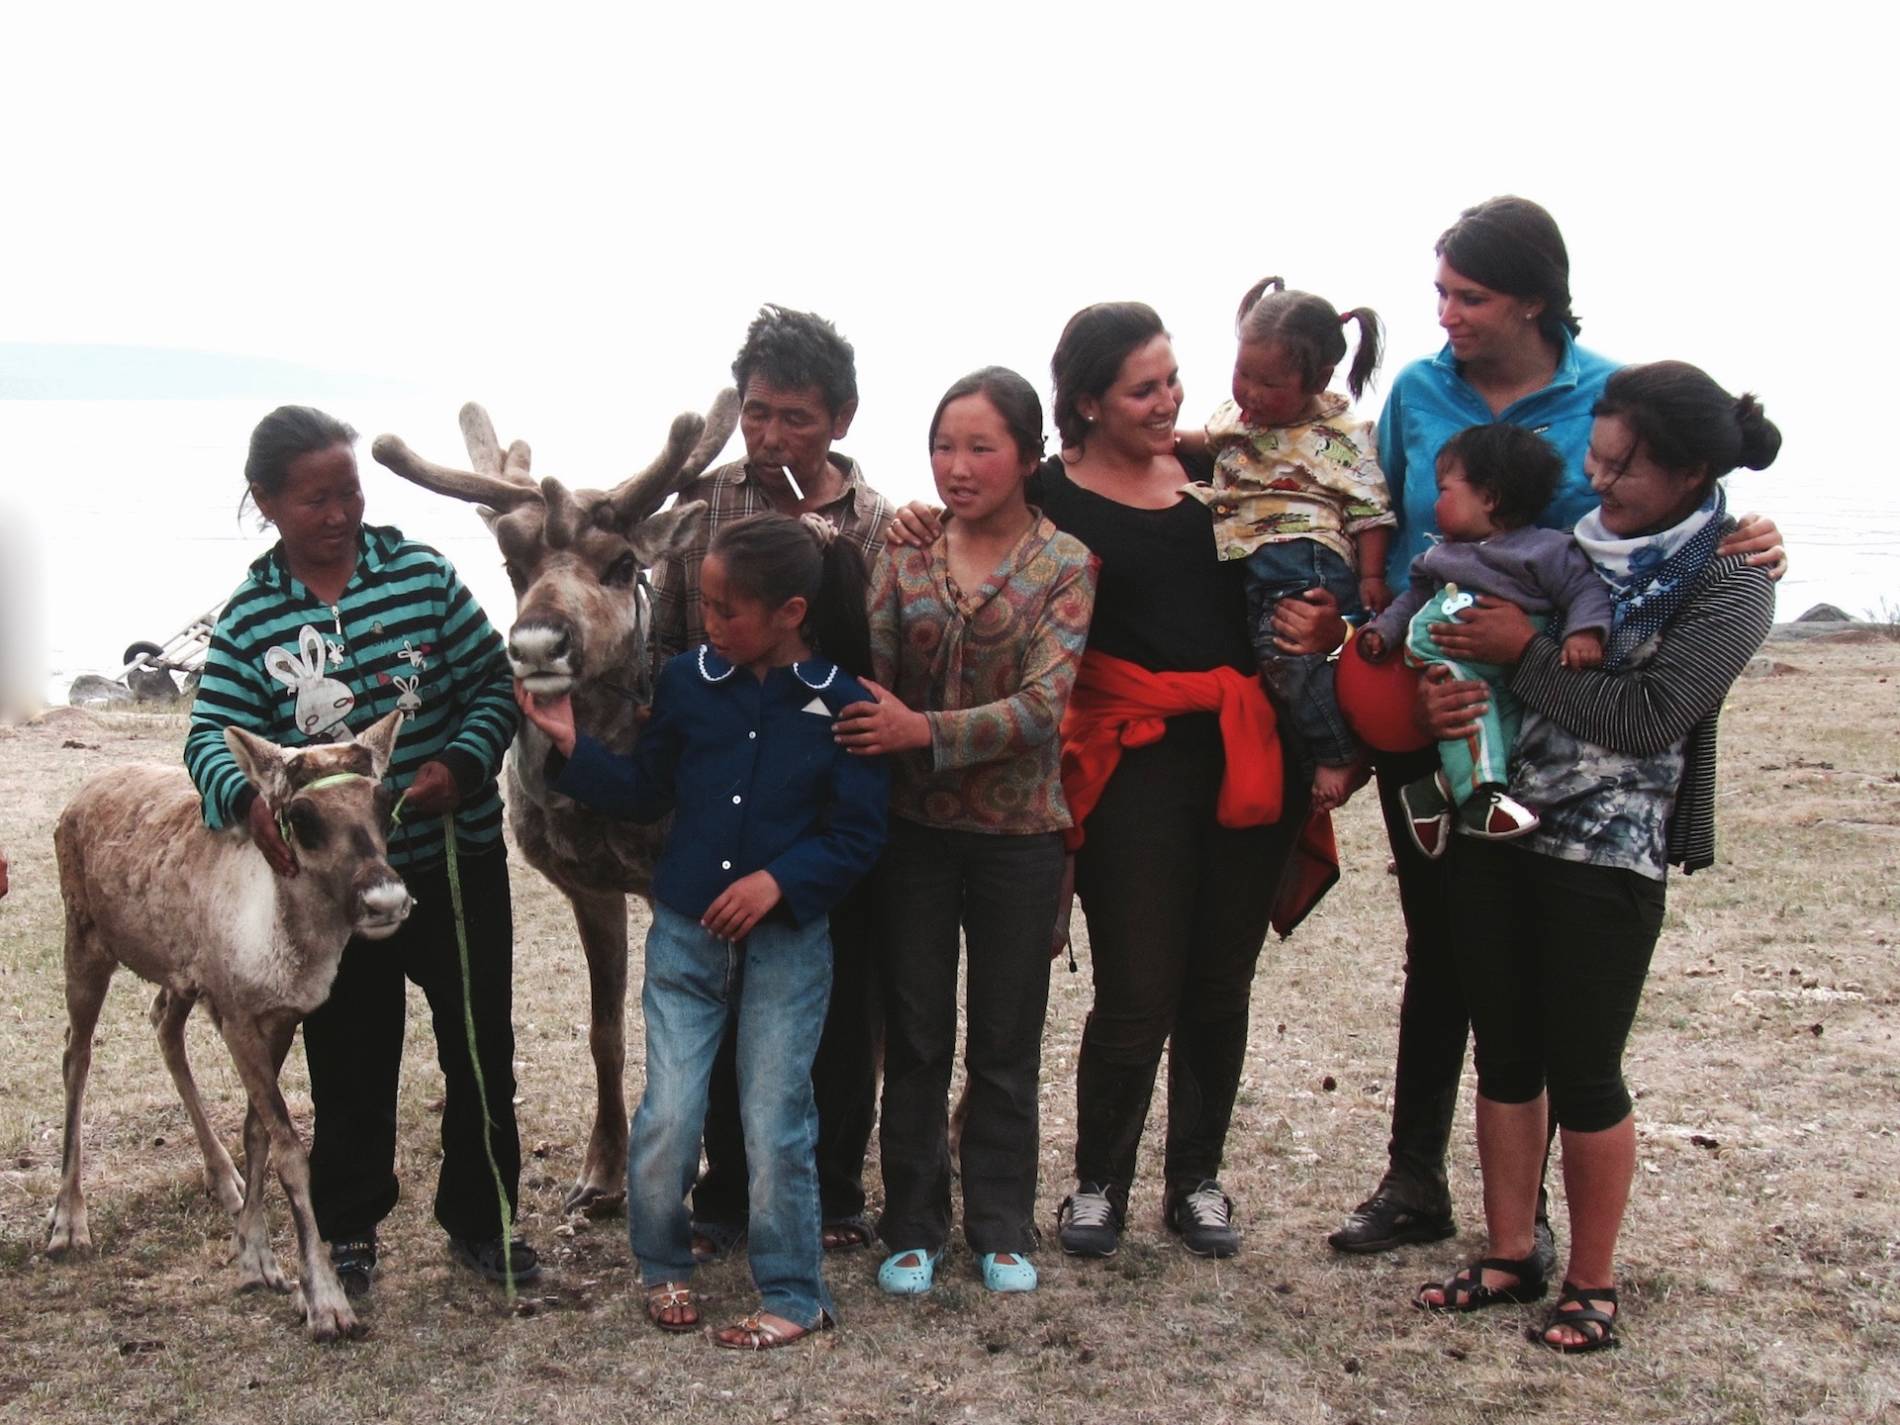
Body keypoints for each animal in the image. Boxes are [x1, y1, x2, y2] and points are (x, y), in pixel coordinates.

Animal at [50, 718, 410, 1345]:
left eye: (385, 801)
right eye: (302, 816)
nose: (385, 899)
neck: (287, 941)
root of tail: (82, 793)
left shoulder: (279, 1017)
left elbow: (257, 1131)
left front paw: (255, 1256)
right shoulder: (238, 1015)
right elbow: (290, 1148)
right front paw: (325, 1300)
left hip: (178, 978)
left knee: (162, 1025)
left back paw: (223, 1179)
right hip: (86, 938)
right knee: (77, 1055)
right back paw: (68, 1219)